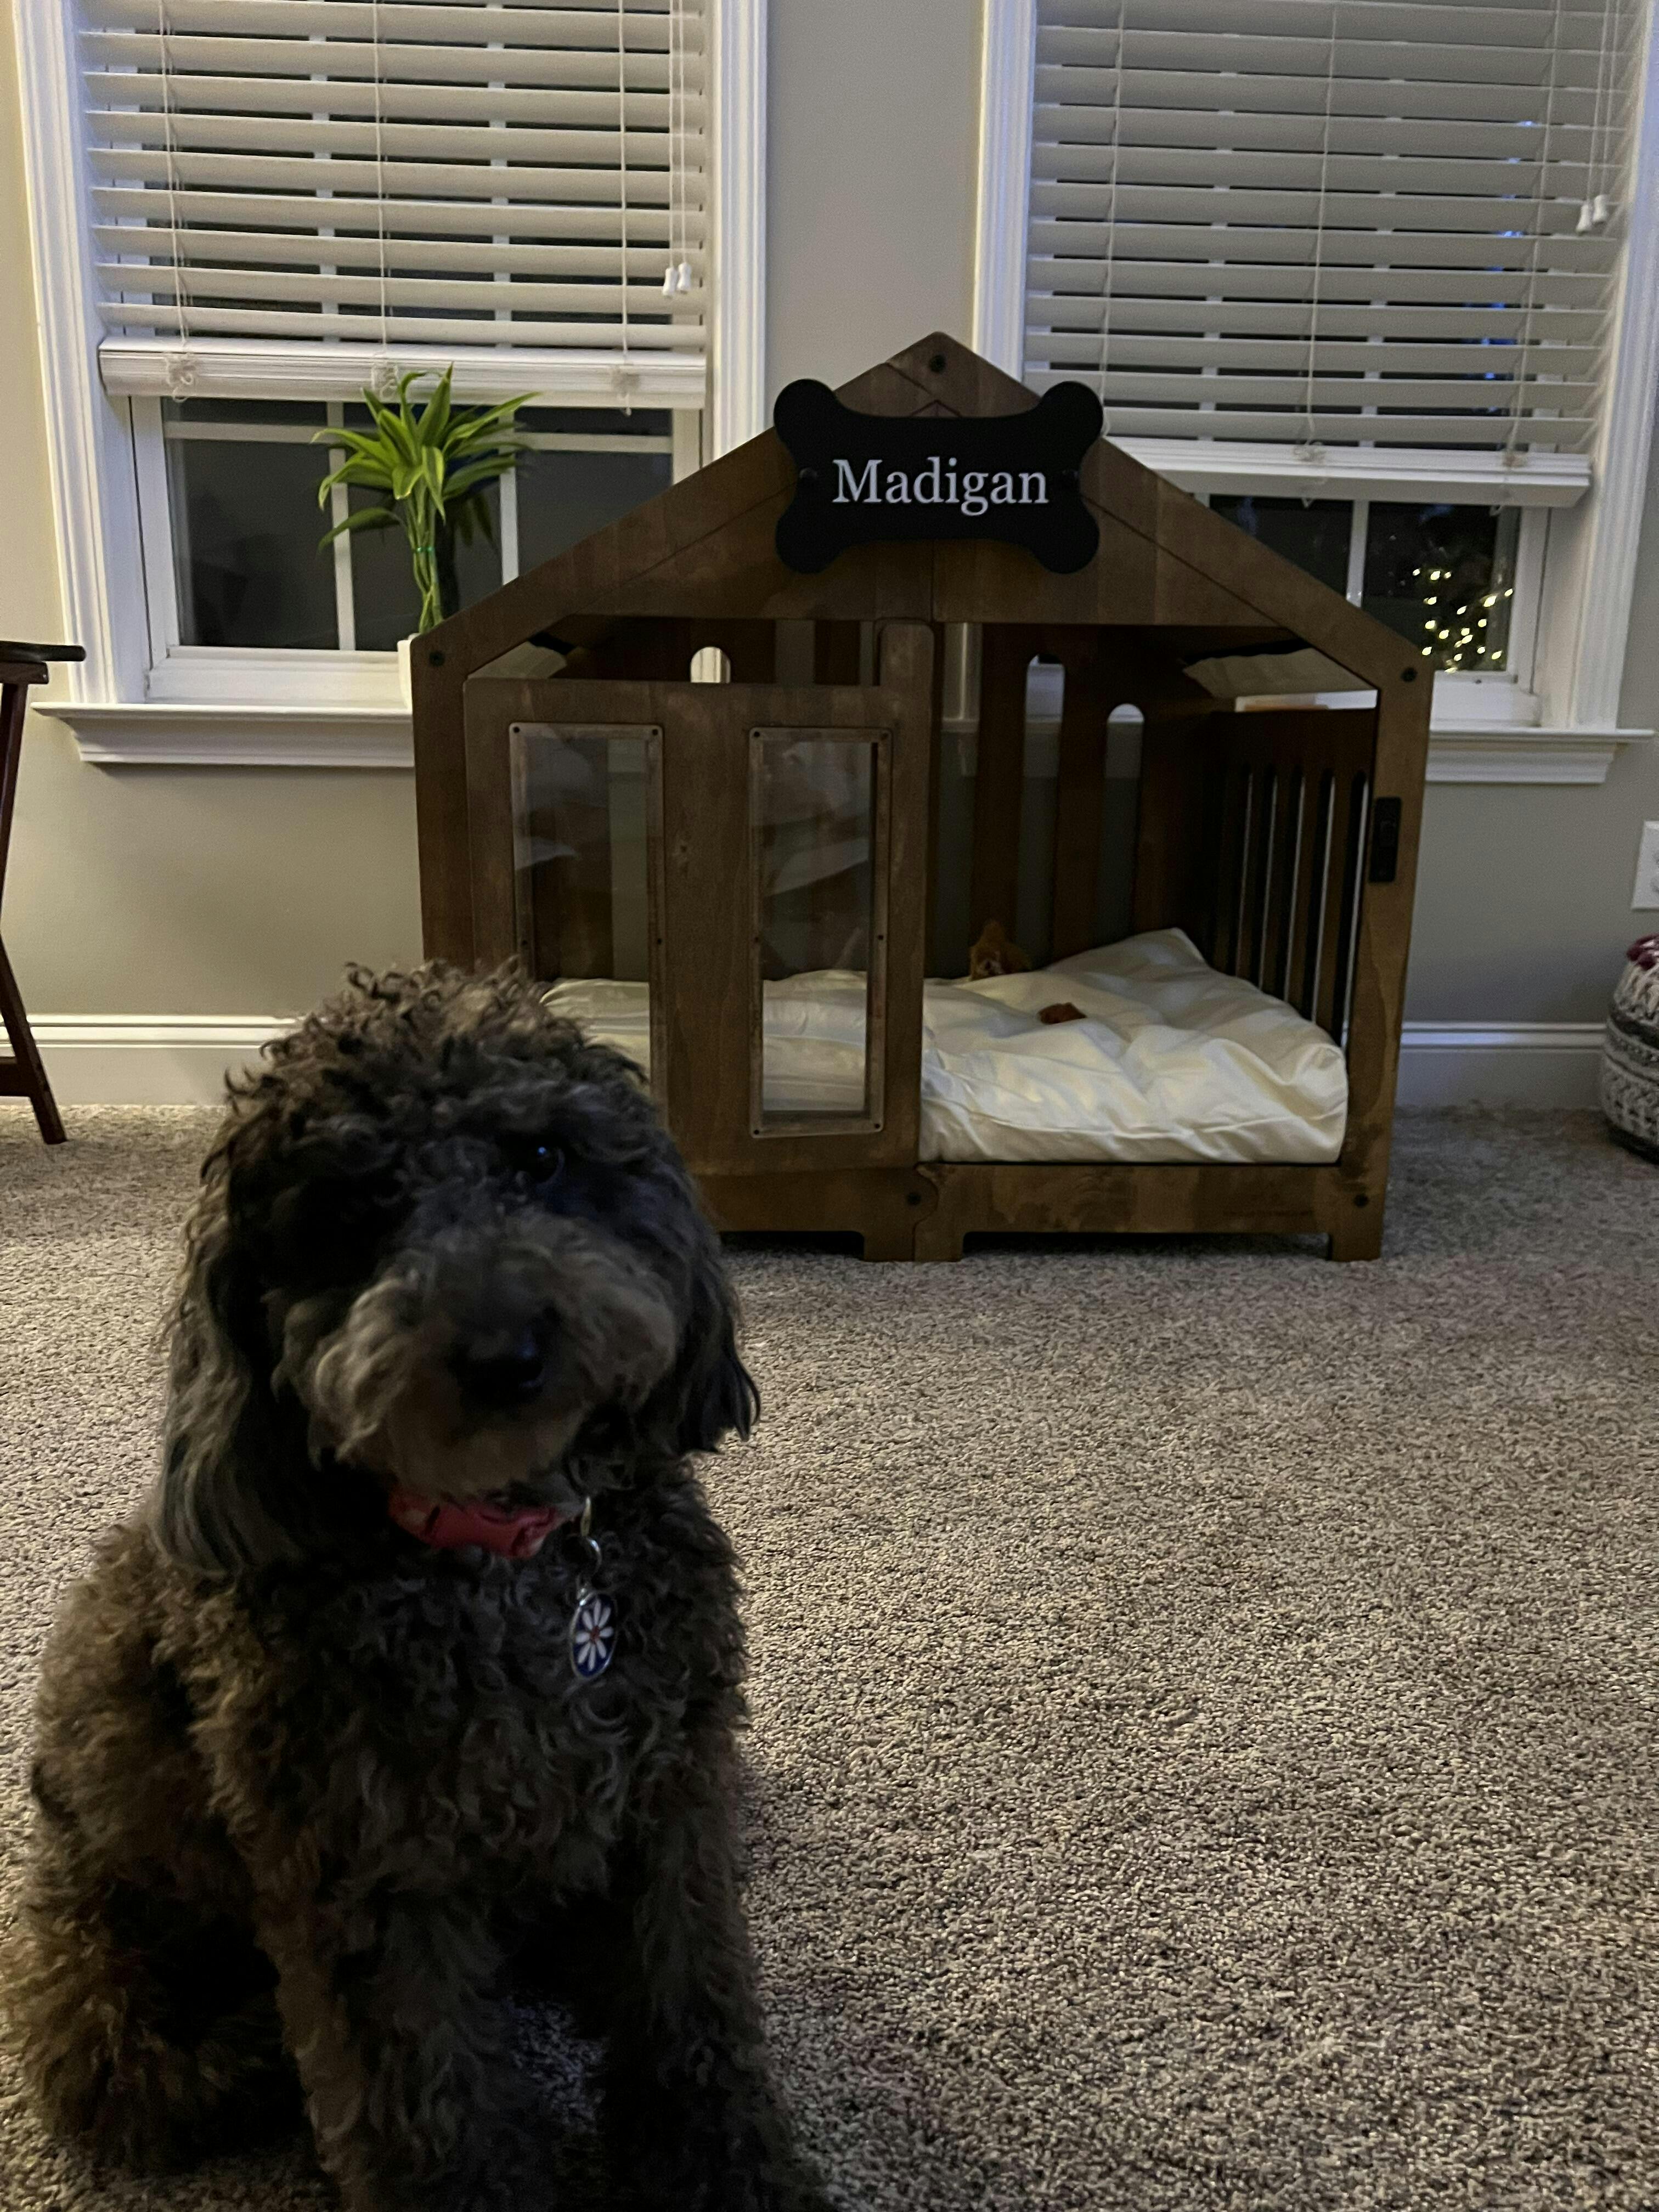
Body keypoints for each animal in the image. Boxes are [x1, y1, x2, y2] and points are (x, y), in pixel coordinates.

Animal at [3, 964, 829, 2212]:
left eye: (538, 1156)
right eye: (350, 1213)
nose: (503, 1352)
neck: (508, 1556)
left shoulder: (665, 1812)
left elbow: (691, 2014)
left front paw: (729, 2173)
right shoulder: (371, 1880)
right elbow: (430, 2110)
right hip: (110, 1972)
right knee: (146, 2068)